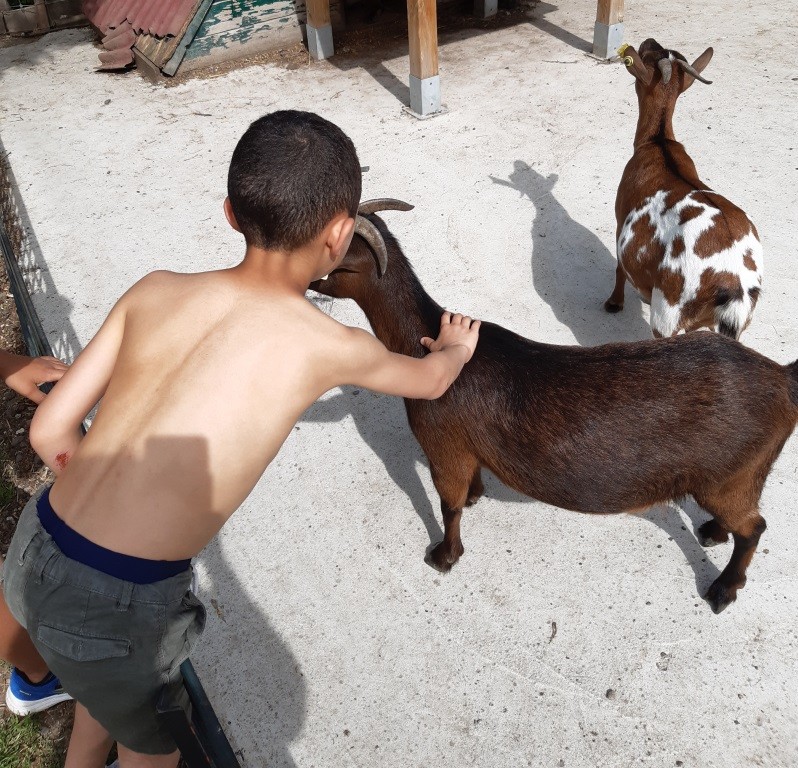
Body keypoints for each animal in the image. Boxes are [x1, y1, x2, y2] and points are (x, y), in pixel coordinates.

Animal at [310, 199, 798, 614]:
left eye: (332, 259)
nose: (307, 282)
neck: (424, 342)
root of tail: (783, 378)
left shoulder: (443, 447)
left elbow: (448, 506)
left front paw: (444, 557)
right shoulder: (466, 450)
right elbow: (468, 488)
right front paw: (476, 497)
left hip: (729, 476)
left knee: (755, 528)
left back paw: (723, 589)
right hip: (736, 477)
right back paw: (713, 532)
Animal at [605, 38, 763, 340]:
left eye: (646, 55)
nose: (649, 40)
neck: (659, 142)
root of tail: (732, 283)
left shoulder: (620, 219)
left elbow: (619, 266)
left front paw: (614, 303)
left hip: (667, 312)